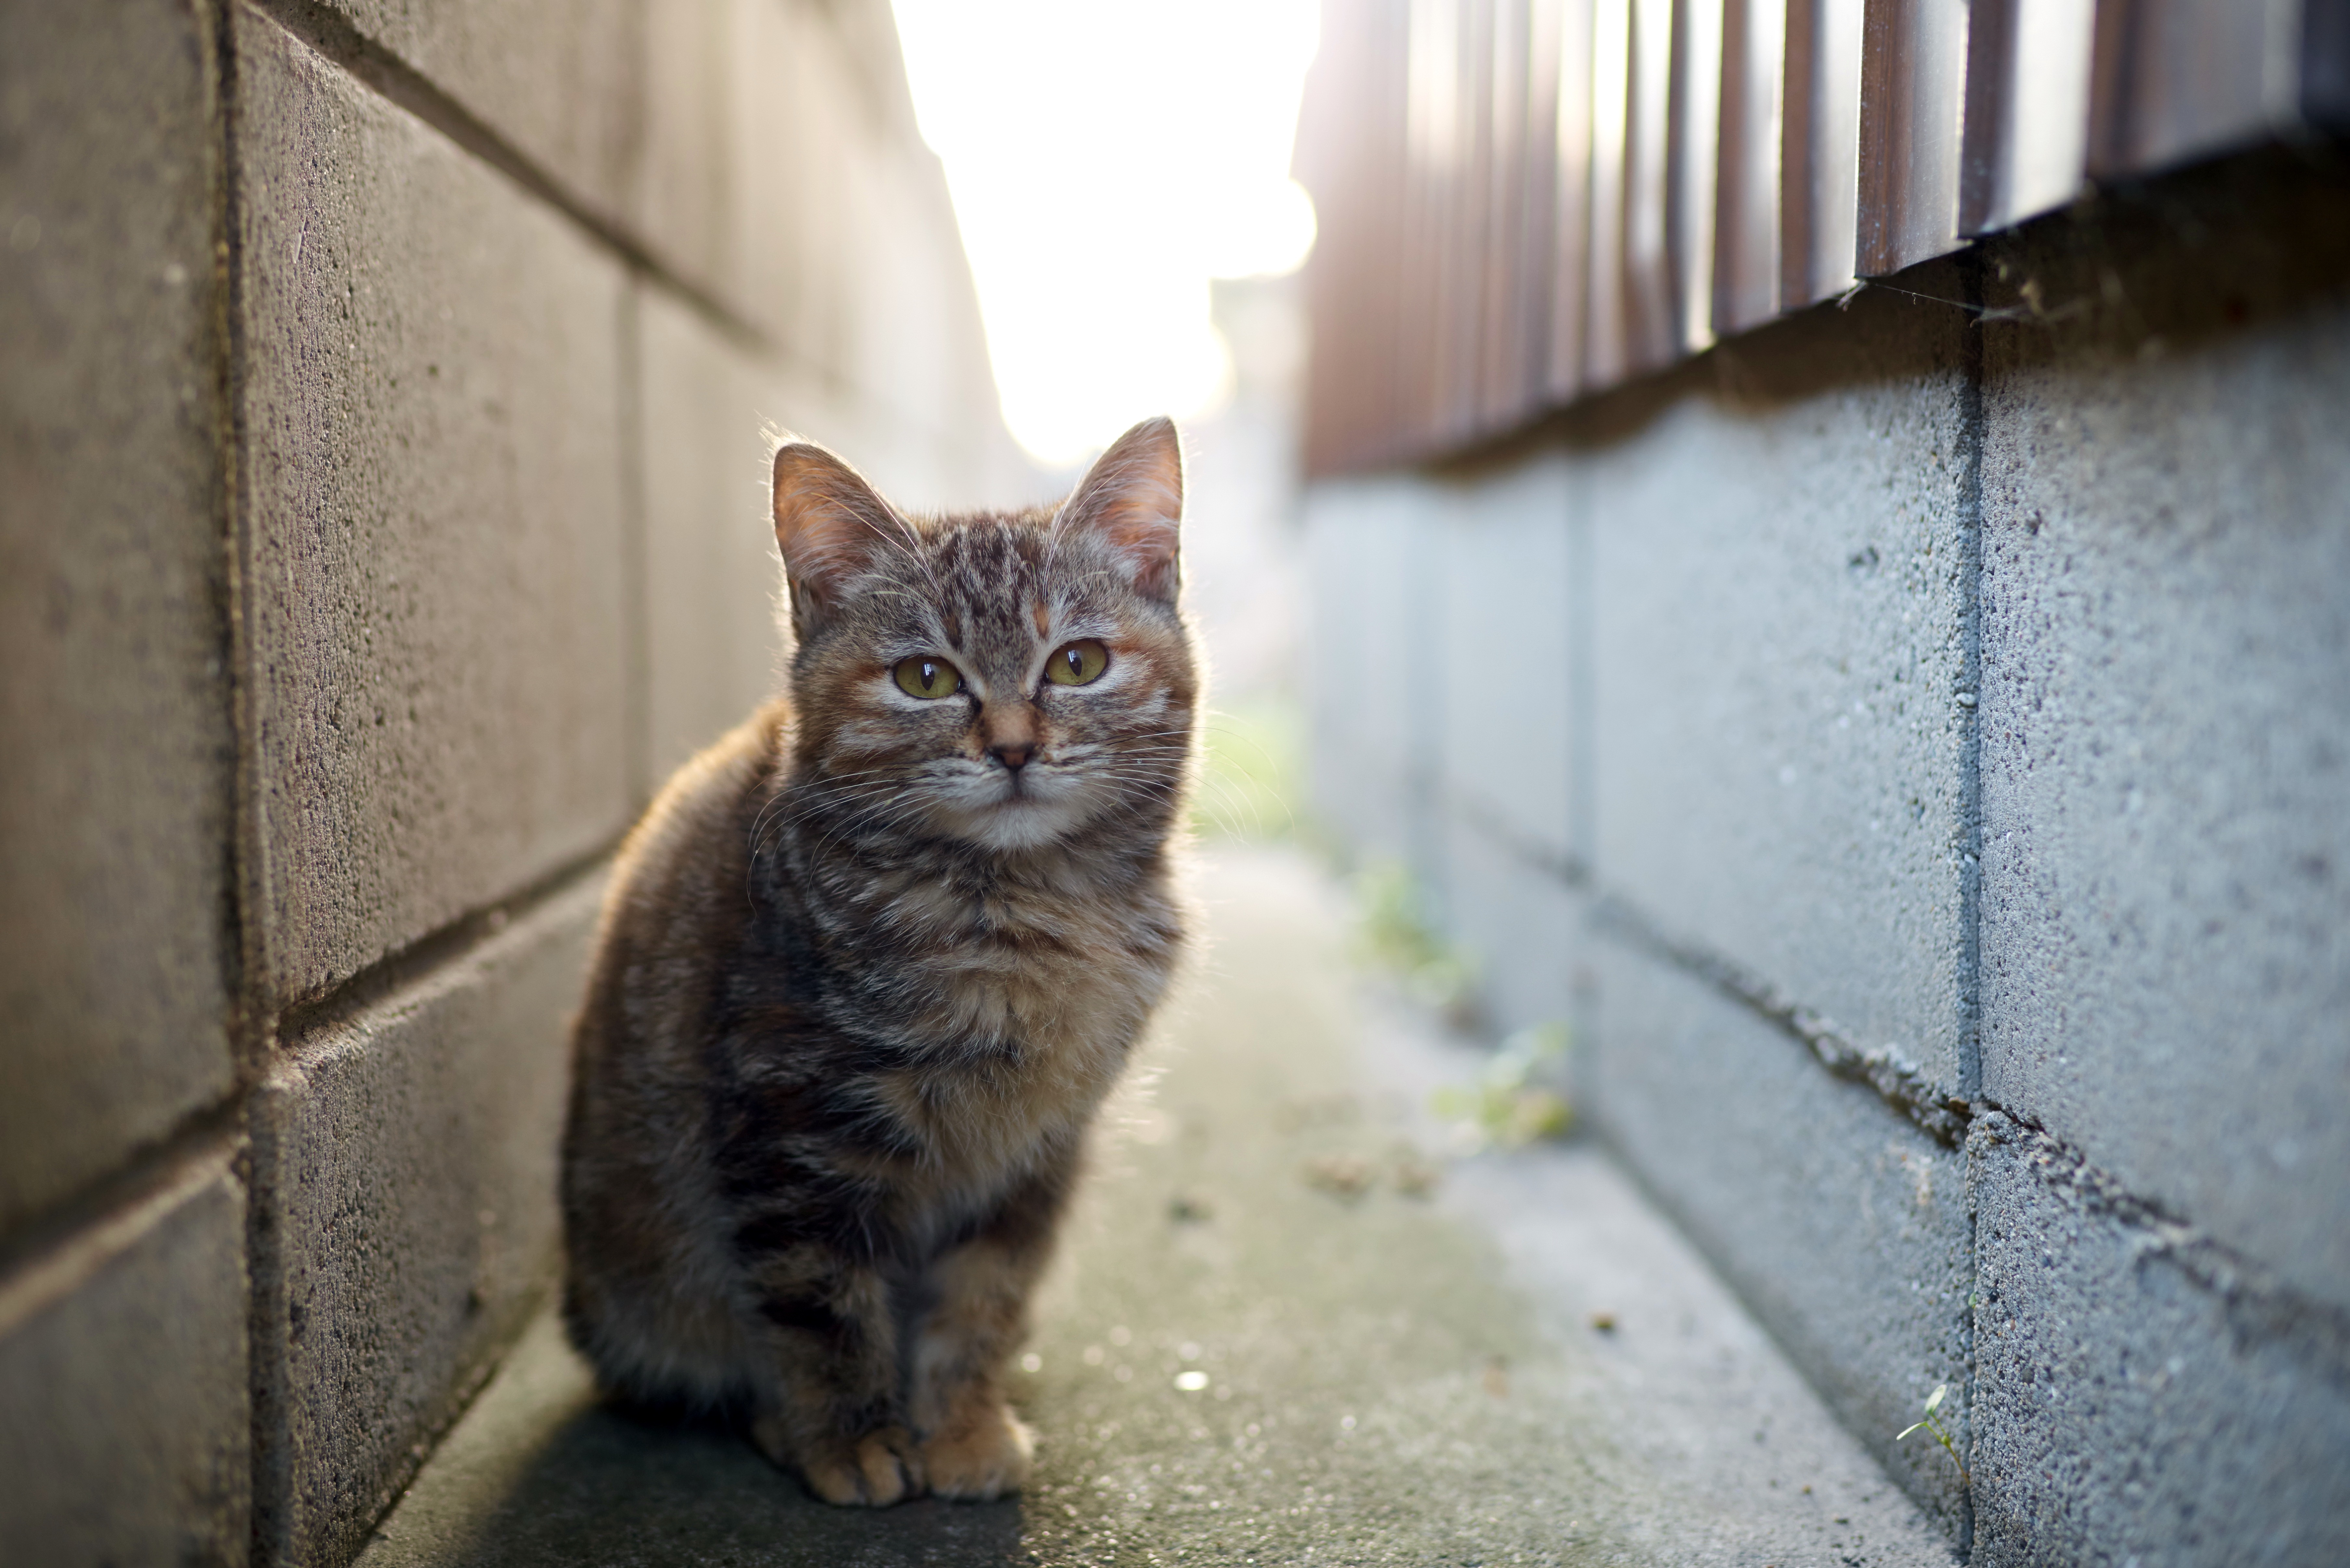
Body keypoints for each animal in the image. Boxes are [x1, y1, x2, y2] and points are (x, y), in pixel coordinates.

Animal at [561, 421, 1203, 1504]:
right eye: (926, 679)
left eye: (1077, 663)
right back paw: (781, 1425)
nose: (1014, 749)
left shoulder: (1036, 1153)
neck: (1019, 913)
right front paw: (851, 1436)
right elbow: (820, 1305)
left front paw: (964, 1421)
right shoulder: (792, 1130)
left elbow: (983, 1296)